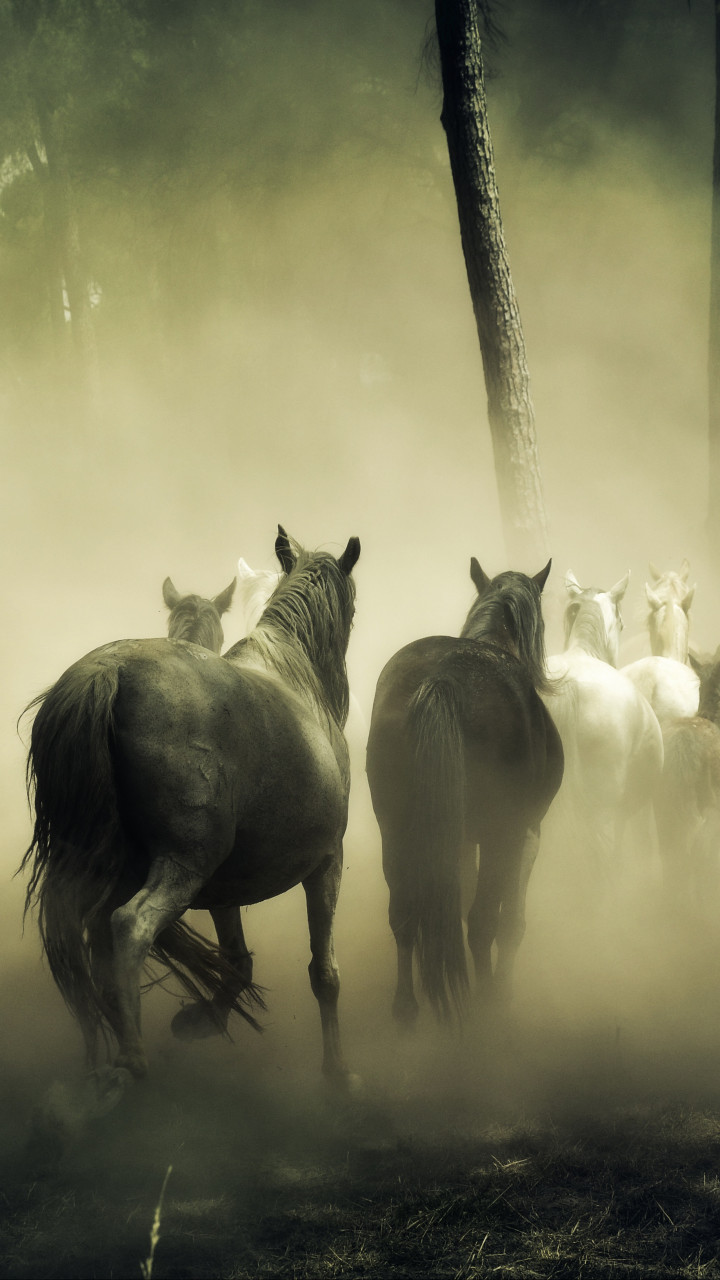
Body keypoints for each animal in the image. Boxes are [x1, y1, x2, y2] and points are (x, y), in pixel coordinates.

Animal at [21, 527, 361, 1089]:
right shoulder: (326, 863)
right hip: (184, 865)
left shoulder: (225, 885)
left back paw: (98, 1061)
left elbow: (237, 962)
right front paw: (339, 1075)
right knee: (127, 926)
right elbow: (324, 973)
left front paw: (198, 1020)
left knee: (76, 941)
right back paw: (131, 1059)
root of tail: (107, 672)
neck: (297, 676)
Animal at [365, 557, 564, 1026]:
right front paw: (503, 991)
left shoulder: (456, 839)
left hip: (396, 829)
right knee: (482, 923)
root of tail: (444, 678)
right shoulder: (525, 833)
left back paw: (406, 1008)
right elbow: (510, 923)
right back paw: (486, 1006)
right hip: (497, 834)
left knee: (404, 913)